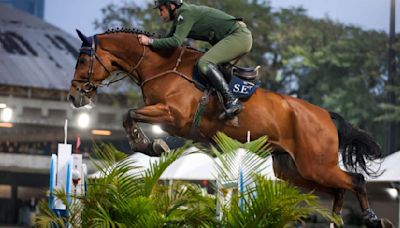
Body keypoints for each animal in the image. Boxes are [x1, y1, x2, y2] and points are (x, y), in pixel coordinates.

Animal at [69, 28, 390, 226]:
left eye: (83, 58)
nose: (74, 96)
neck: (161, 66)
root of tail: (325, 115)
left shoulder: (173, 116)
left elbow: (129, 114)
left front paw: (147, 144)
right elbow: (130, 115)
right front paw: (149, 145)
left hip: (316, 165)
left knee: (355, 181)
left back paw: (371, 218)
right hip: (294, 170)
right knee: (339, 189)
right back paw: (337, 219)